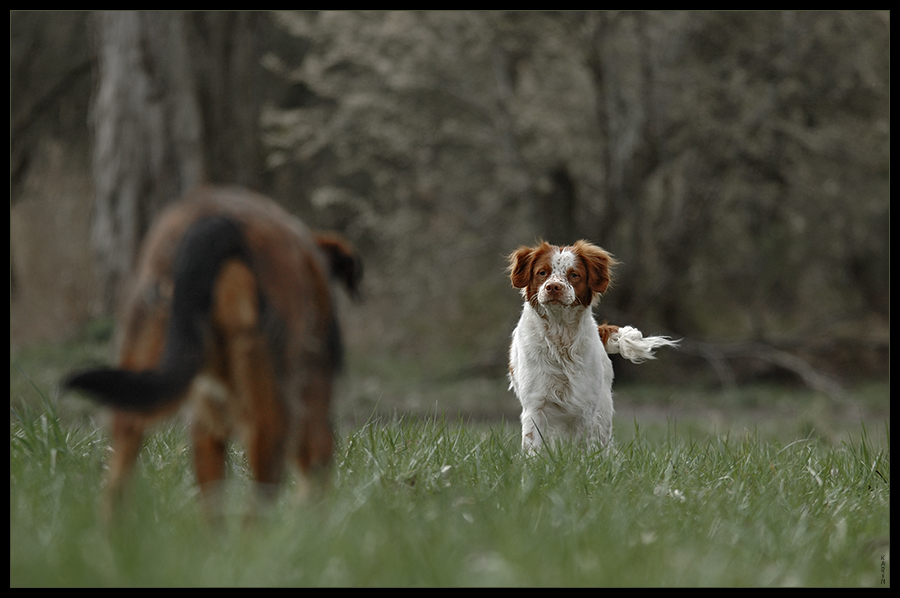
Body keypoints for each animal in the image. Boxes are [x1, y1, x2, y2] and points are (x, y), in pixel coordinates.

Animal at [65, 185, 360, 516]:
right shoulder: (313, 409)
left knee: (118, 477)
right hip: (273, 416)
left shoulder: (204, 429)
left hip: (138, 387)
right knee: (258, 506)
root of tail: (218, 224)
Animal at [506, 241, 676, 452]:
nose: (553, 287)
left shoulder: (585, 407)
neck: (560, 335)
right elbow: (533, 446)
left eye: (574, 274)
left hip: (603, 411)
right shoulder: (535, 404)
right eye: (542, 272)